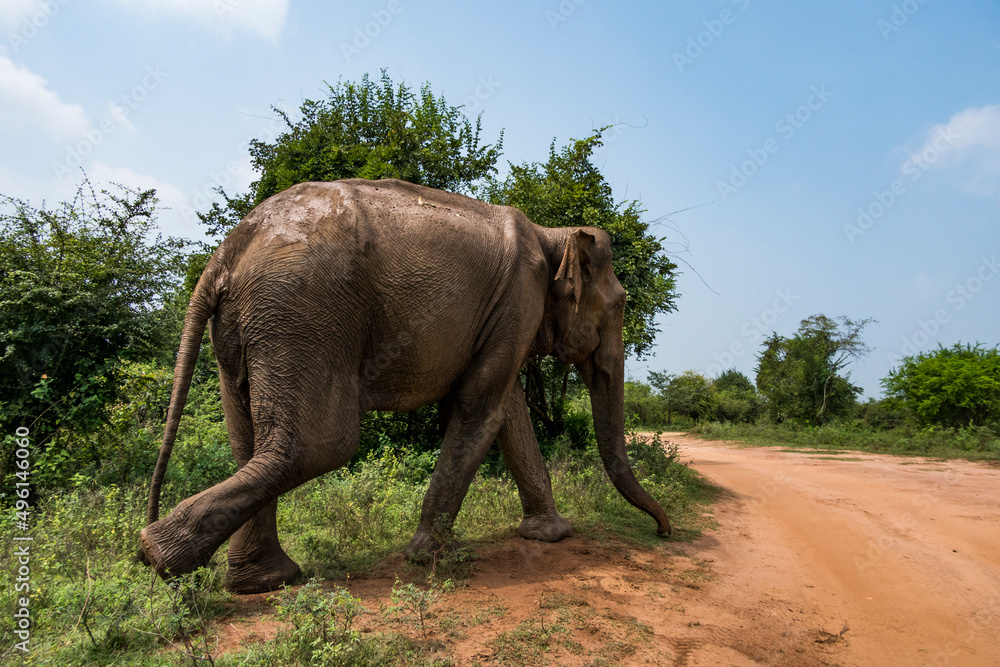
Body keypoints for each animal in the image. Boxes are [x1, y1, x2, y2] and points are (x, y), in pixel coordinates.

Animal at [140, 178, 671, 594]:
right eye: (620, 305)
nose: (664, 532)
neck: (552, 235)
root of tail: (227, 252)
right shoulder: (519, 299)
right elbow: (481, 408)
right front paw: (430, 557)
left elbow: (507, 411)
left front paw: (551, 535)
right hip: (302, 312)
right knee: (319, 445)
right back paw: (159, 556)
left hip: (248, 326)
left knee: (248, 440)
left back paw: (260, 580)